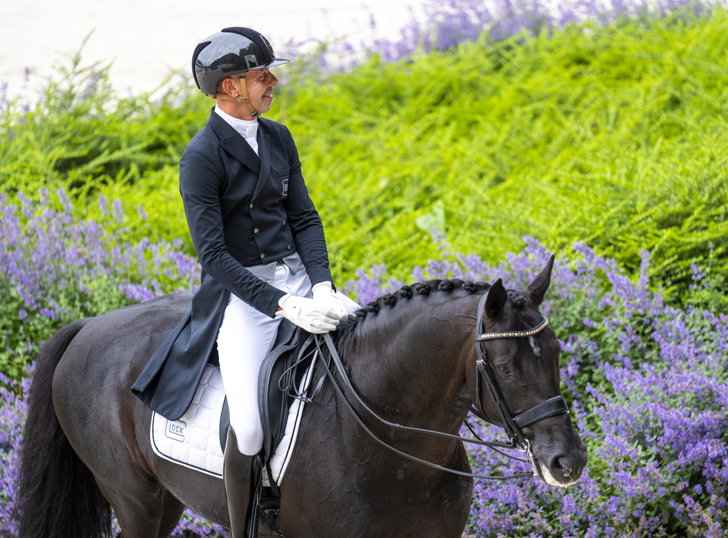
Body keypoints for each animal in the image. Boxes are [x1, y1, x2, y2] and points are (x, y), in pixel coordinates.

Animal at [15, 258, 584, 532]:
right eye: (506, 367)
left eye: (557, 353)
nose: (568, 462)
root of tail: (88, 327)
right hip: (133, 498)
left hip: (165, 500)